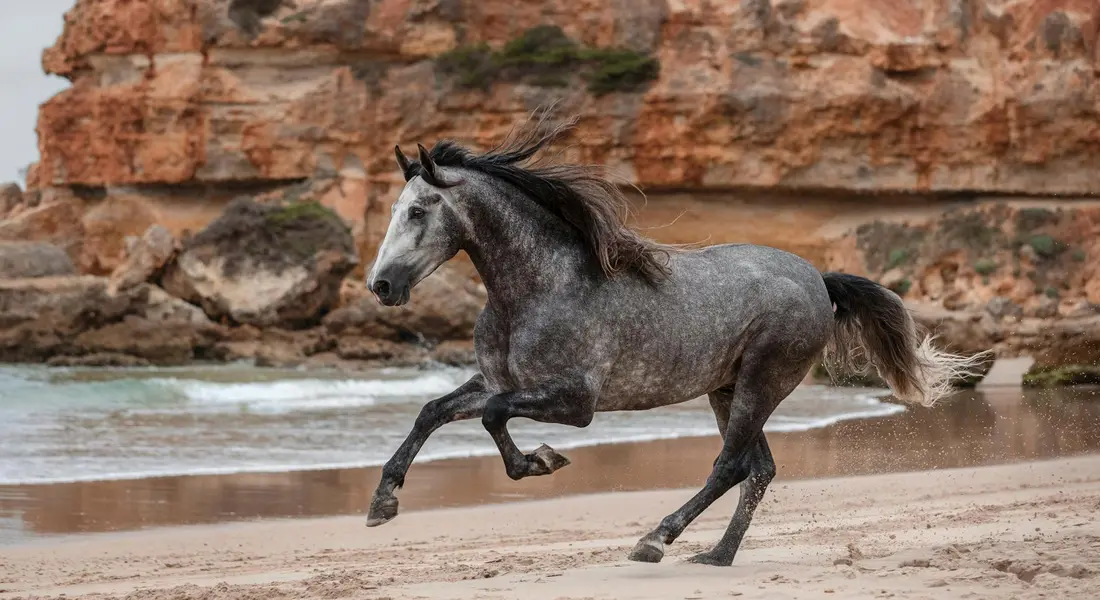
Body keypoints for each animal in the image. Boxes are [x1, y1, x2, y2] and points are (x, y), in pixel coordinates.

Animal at [363, 111, 987, 566]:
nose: (381, 284)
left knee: (731, 466)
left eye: (418, 210)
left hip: (761, 383)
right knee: (758, 470)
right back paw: (716, 556)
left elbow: (494, 416)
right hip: (727, 389)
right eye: (393, 207)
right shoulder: (498, 379)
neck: (538, 286)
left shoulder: (575, 401)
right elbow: (434, 410)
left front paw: (541, 461)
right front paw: (383, 502)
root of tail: (818, 279)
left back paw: (656, 540)